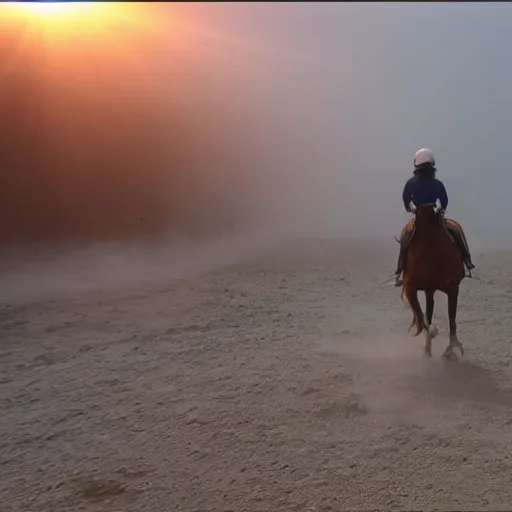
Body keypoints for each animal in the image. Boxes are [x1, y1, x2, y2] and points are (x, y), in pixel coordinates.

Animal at [398, 202, 470, 358]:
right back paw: (427, 349)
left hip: (433, 289)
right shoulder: (411, 286)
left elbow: (451, 317)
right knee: (427, 314)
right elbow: (420, 315)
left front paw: (452, 349)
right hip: (428, 289)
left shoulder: (452, 288)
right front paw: (431, 335)